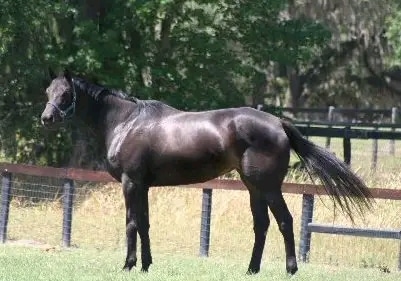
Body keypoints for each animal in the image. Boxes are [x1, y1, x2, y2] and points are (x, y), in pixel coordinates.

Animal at [40, 69, 372, 274]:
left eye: (66, 93)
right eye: (48, 91)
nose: (46, 118)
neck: (126, 122)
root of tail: (279, 123)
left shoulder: (131, 183)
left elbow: (132, 223)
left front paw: (129, 264)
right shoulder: (143, 186)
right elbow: (145, 224)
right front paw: (146, 265)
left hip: (267, 186)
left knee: (285, 222)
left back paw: (290, 269)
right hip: (253, 187)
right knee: (262, 225)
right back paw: (251, 269)